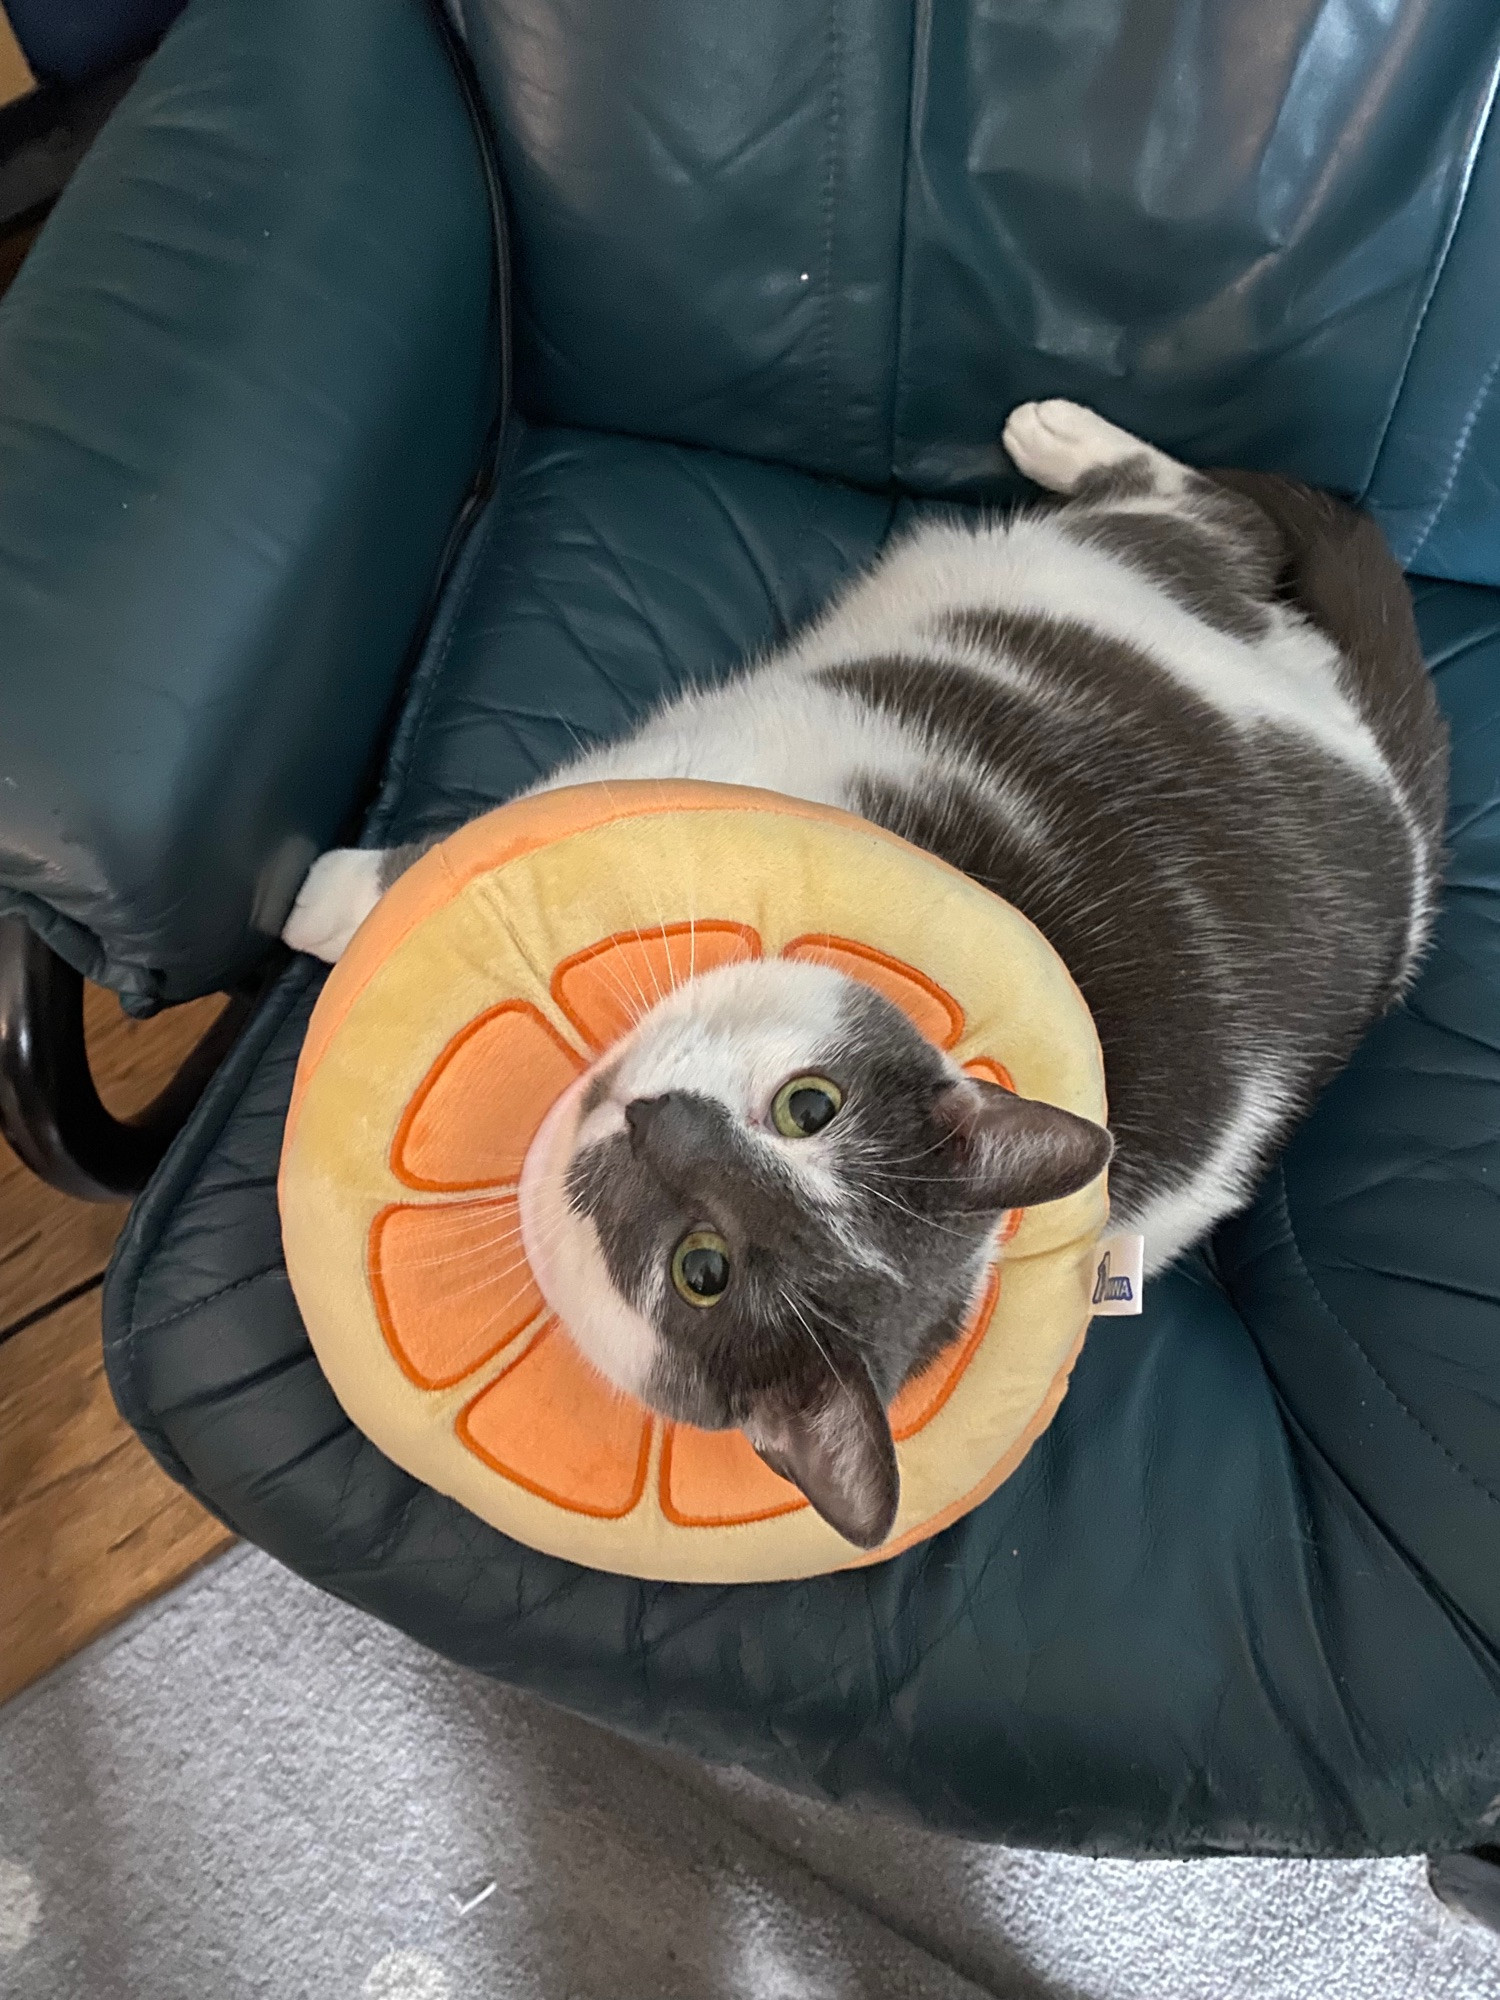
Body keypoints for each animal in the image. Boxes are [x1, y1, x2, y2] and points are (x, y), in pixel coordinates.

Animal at [284, 402, 1456, 1544]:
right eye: (813, 1106)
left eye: (702, 1270)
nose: (664, 1126)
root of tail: (1399, 810)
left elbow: (429, 864)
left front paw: (324, 898)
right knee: (1220, 502)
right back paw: (1059, 430)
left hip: (1108, 559)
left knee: (1191, 506)